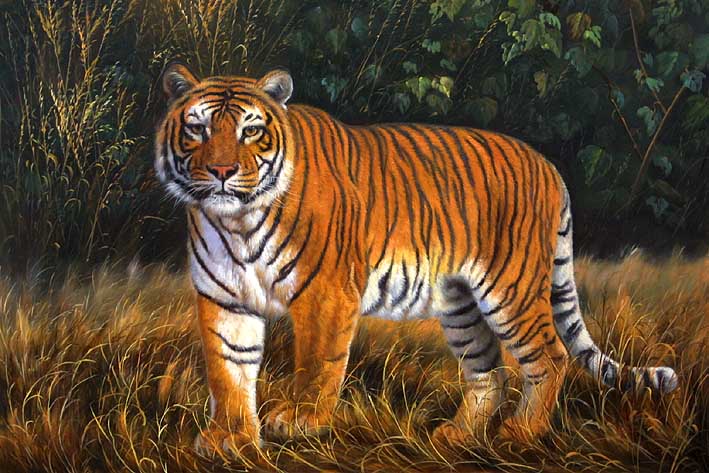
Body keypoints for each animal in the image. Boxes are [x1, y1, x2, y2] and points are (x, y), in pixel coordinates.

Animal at [154, 62, 678, 453]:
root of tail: (548, 165)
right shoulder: (225, 300)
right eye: (197, 128)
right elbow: (229, 371)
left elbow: (317, 361)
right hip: (460, 304)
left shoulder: (324, 293)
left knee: (549, 357)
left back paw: (521, 432)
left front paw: (301, 420)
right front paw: (230, 438)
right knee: (489, 370)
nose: (222, 171)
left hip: (510, 290)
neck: (236, 221)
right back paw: (457, 435)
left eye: (252, 131)